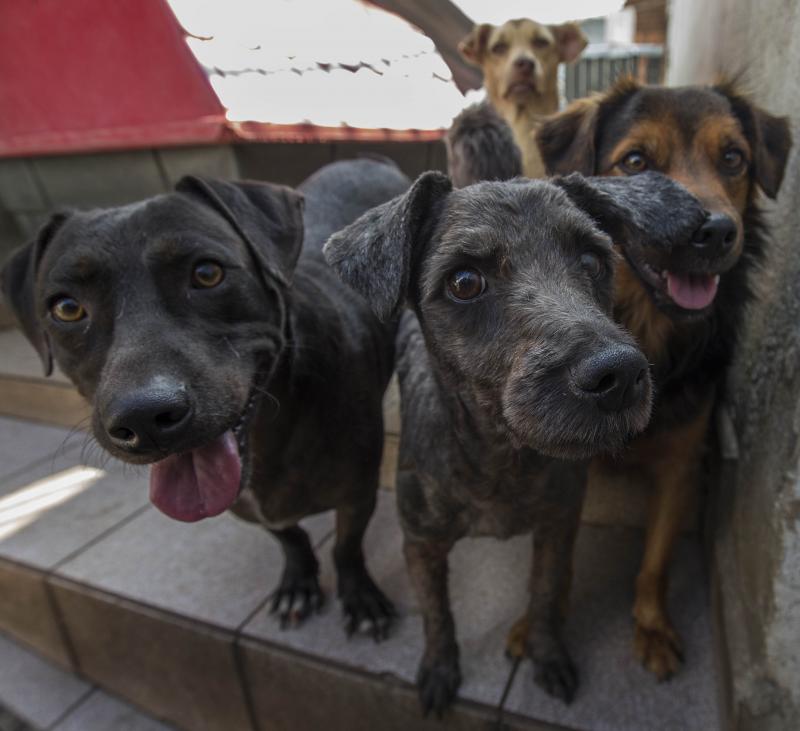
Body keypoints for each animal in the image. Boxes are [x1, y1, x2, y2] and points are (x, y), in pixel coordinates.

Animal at [1, 159, 406, 636]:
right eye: (66, 308)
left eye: (207, 273)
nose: (145, 417)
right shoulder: (245, 504)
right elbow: (289, 536)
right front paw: (298, 580)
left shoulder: (357, 493)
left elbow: (346, 546)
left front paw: (359, 597)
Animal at [322, 170, 708, 716]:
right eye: (464, 282)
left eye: (593, 260)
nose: (619, 375)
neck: (500, 455)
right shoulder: (420, 544)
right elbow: (436, 614)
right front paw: (440, 669)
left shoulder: (557, 527)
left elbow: (544, 596)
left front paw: (547, 655)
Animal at [510, 80, 792, 680]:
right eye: (635, 162)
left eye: (733, 158)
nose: (713, 232)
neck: (646, 329)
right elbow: (555, 557)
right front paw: (540, 622)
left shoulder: (682, 463)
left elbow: (656, 559)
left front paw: (653, 627)